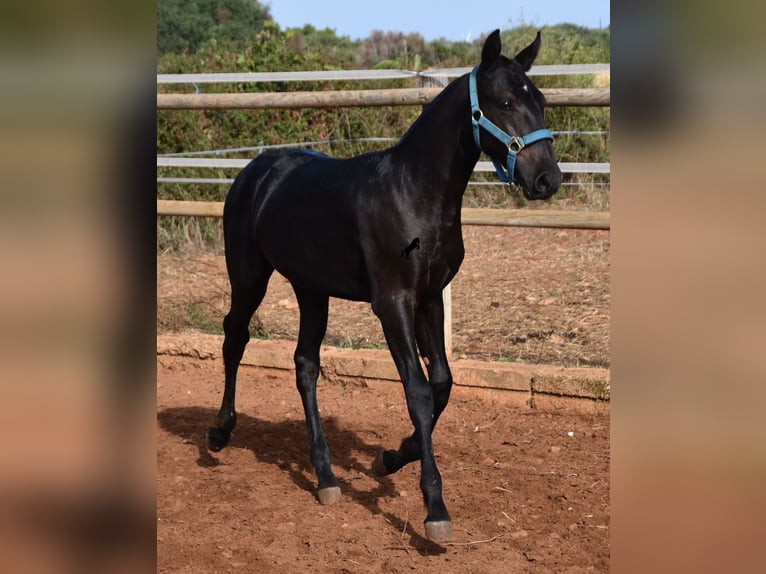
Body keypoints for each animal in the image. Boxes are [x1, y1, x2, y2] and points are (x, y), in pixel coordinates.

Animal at [210, 30, 564, 544]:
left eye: (540, 101)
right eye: (504, 102)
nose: (547, 179)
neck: (414, 194)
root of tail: (254, 171)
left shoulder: (429, 299)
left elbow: (442, 383)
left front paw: (393, 456)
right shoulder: (392, 302)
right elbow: (417, 390)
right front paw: (435, 507)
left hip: (311, 289)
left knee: (305, 365)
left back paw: (326, 476)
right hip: (249, 275)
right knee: (235, 336)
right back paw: (218, 434)